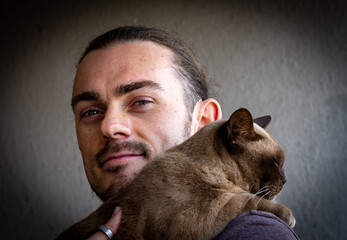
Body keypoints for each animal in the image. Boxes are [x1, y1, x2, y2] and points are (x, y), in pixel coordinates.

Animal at [59, 109, 296, 240]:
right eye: (276, 163)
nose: (286, 180)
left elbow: (250, 199)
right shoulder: (207, 213)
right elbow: (251, 201)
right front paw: (289, 216)